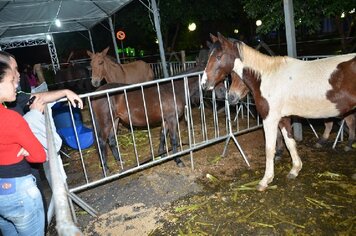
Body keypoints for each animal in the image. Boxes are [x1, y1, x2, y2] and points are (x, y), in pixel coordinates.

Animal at [203, 33, 356, 191]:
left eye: (219, 56)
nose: (204, 84)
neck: (268, 77)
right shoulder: (283, 118)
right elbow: (290, 142)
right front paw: (295, 170)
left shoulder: (270, 119)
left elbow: (269, 148)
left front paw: (265, 180)